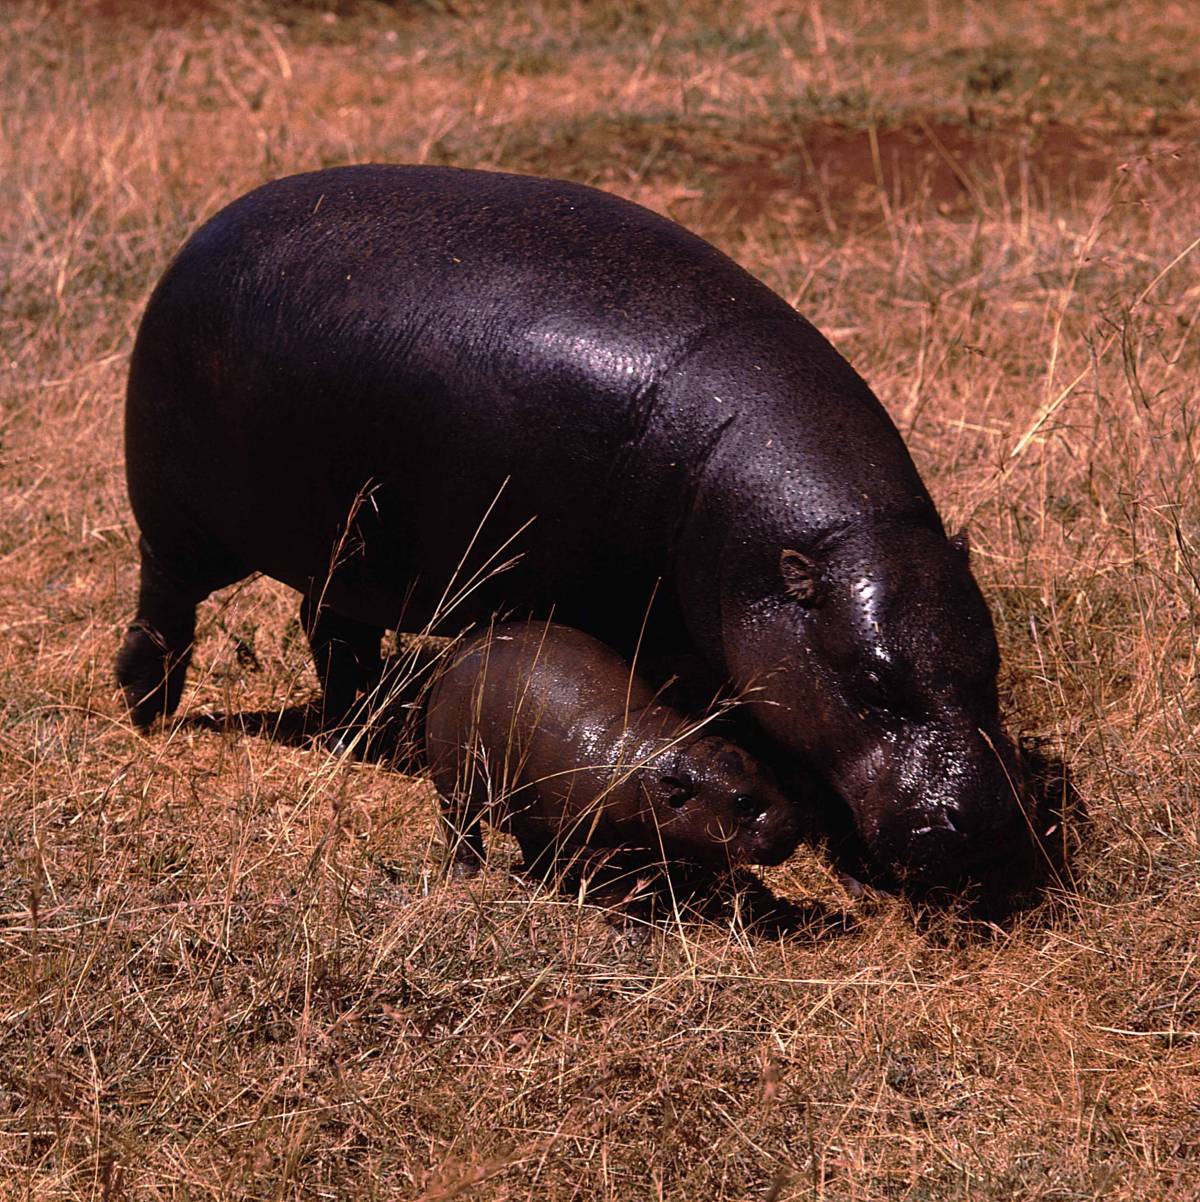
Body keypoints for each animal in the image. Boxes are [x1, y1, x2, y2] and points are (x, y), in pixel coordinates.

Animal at [423, 625, 808, 879]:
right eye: (743, 802)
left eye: (771, 773)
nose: (794, 826)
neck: (646, 763)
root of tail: (462, 648)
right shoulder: (596, 846)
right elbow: (614, 886)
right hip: (454, 787)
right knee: (460, 827)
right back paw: (466, 874)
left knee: (531, 840)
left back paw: (537, 877)